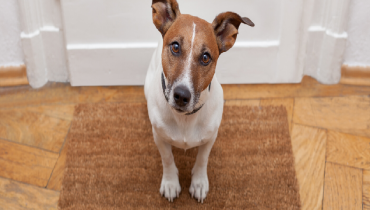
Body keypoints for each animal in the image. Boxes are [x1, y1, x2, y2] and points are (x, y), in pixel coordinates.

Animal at [145, 0, 254, 203]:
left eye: (205, 57)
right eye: (175, 47)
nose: (181, 95)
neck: (185, 119)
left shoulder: (210, 137)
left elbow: (203, 159)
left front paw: (199, 183)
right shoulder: (159, 136)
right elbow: (167, 158)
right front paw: (171, 183)